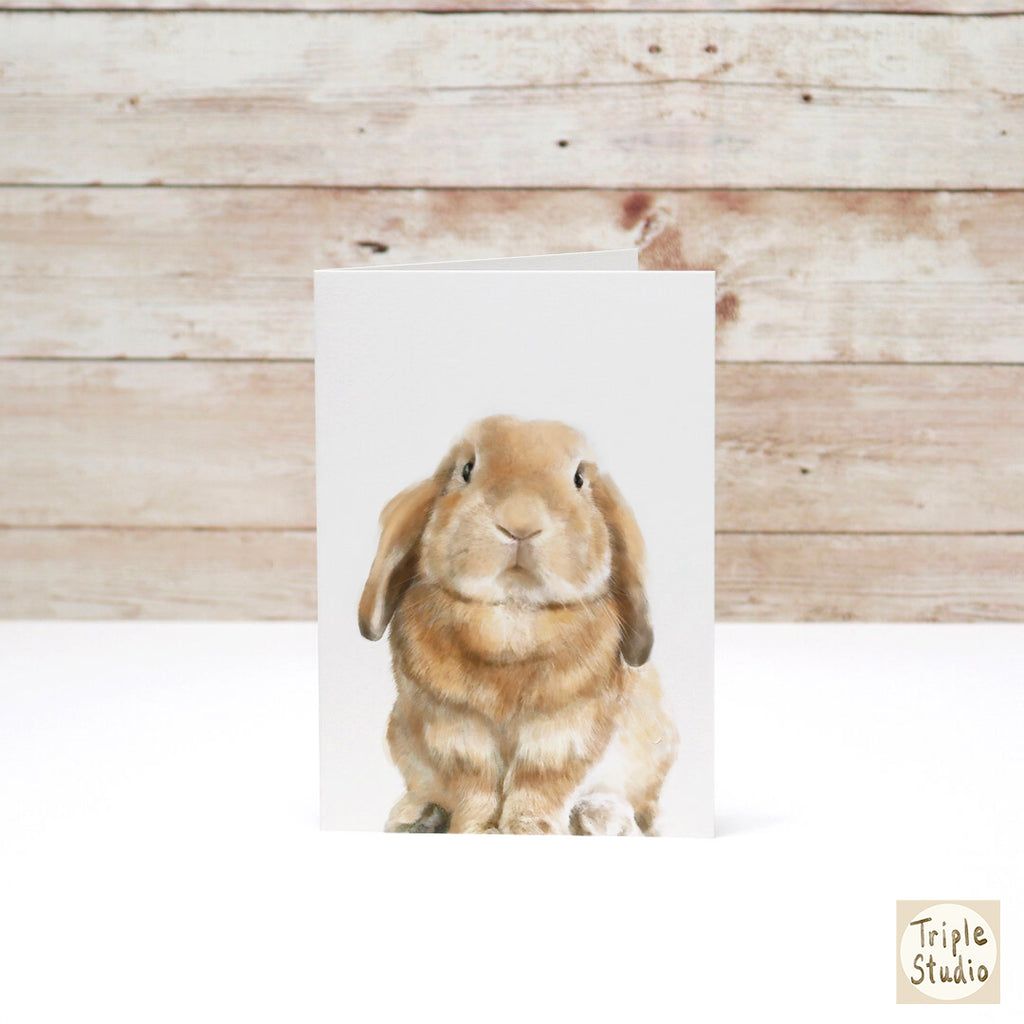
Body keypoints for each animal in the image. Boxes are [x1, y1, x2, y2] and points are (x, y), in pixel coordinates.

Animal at [359, 415, 678, 835]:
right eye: (466, 469)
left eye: (579, 479)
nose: (520, 523)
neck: (513, 613)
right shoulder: (454, 728)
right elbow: (475, 785)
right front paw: (476, 830)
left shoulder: (564, 730)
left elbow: (538, 783)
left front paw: (529, 830)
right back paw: (415, 815)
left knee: (638, 807)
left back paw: (602, 818)